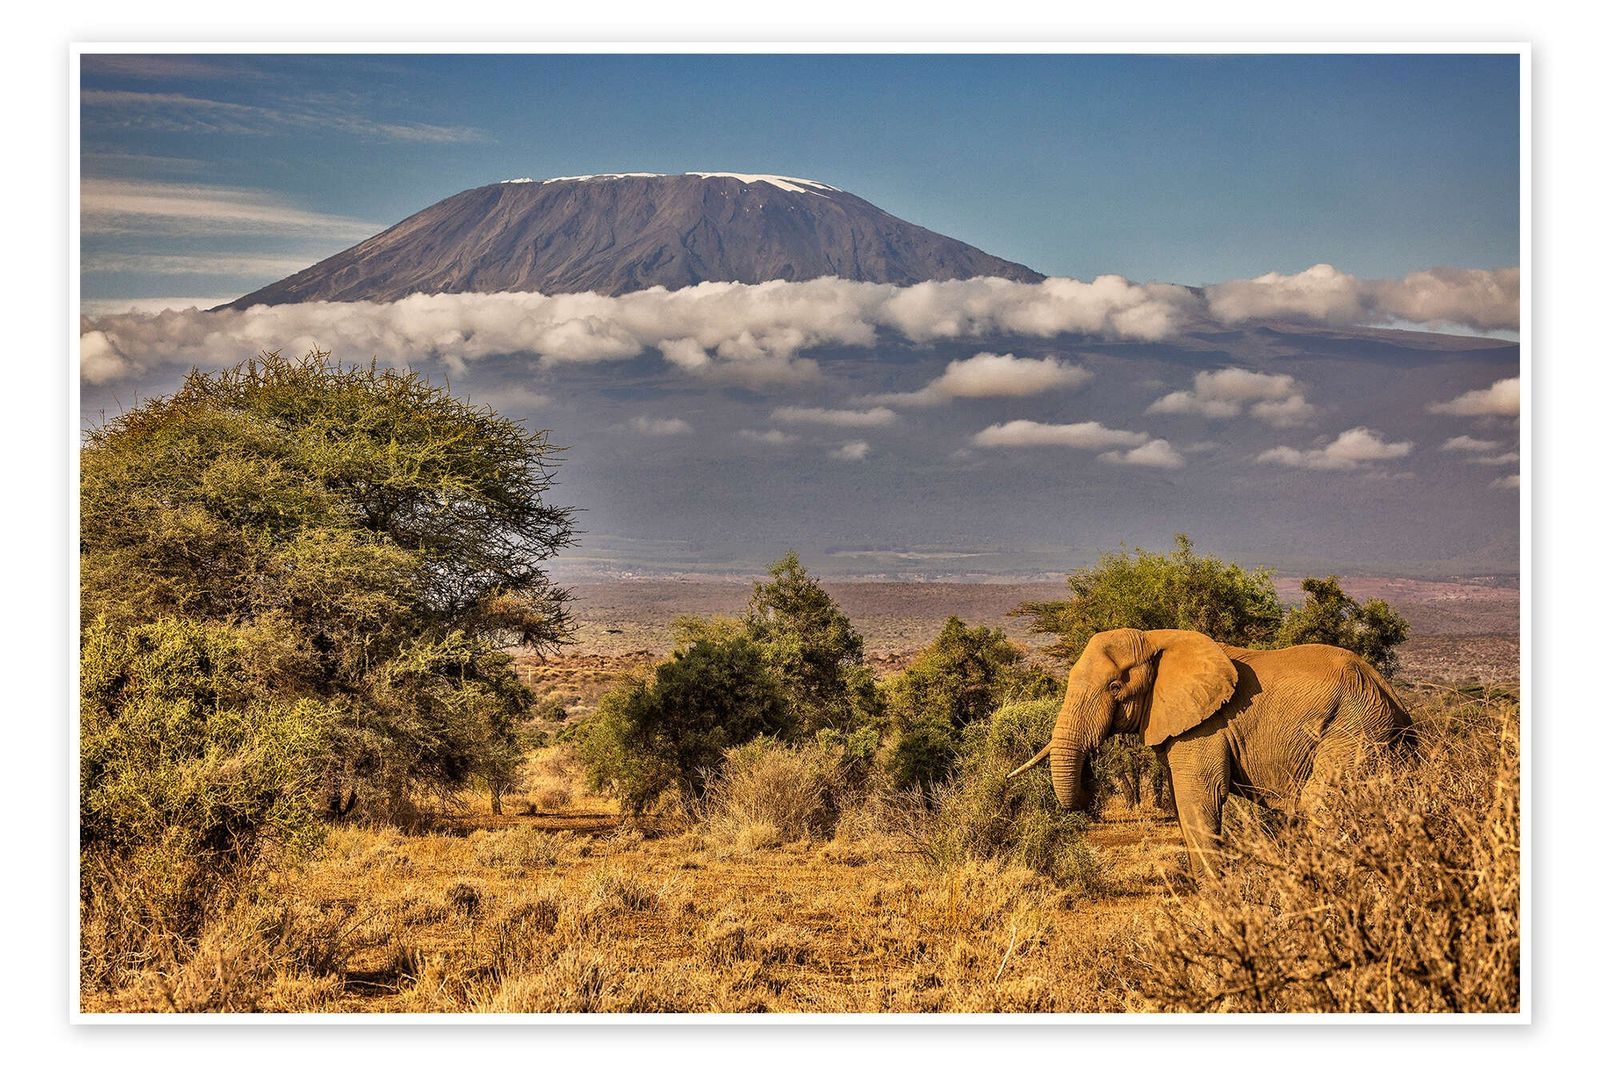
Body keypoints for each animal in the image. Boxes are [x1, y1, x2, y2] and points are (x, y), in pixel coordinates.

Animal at [1009, 628, 1412, 874]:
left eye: (1114, 686)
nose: (1090, 779)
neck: (1155, 638)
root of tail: (1391, 693)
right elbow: (1180, 798)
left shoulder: (1206, 724)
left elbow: (1198, 796)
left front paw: (1212, 895)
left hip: (1357, 728)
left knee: (1321, 802)